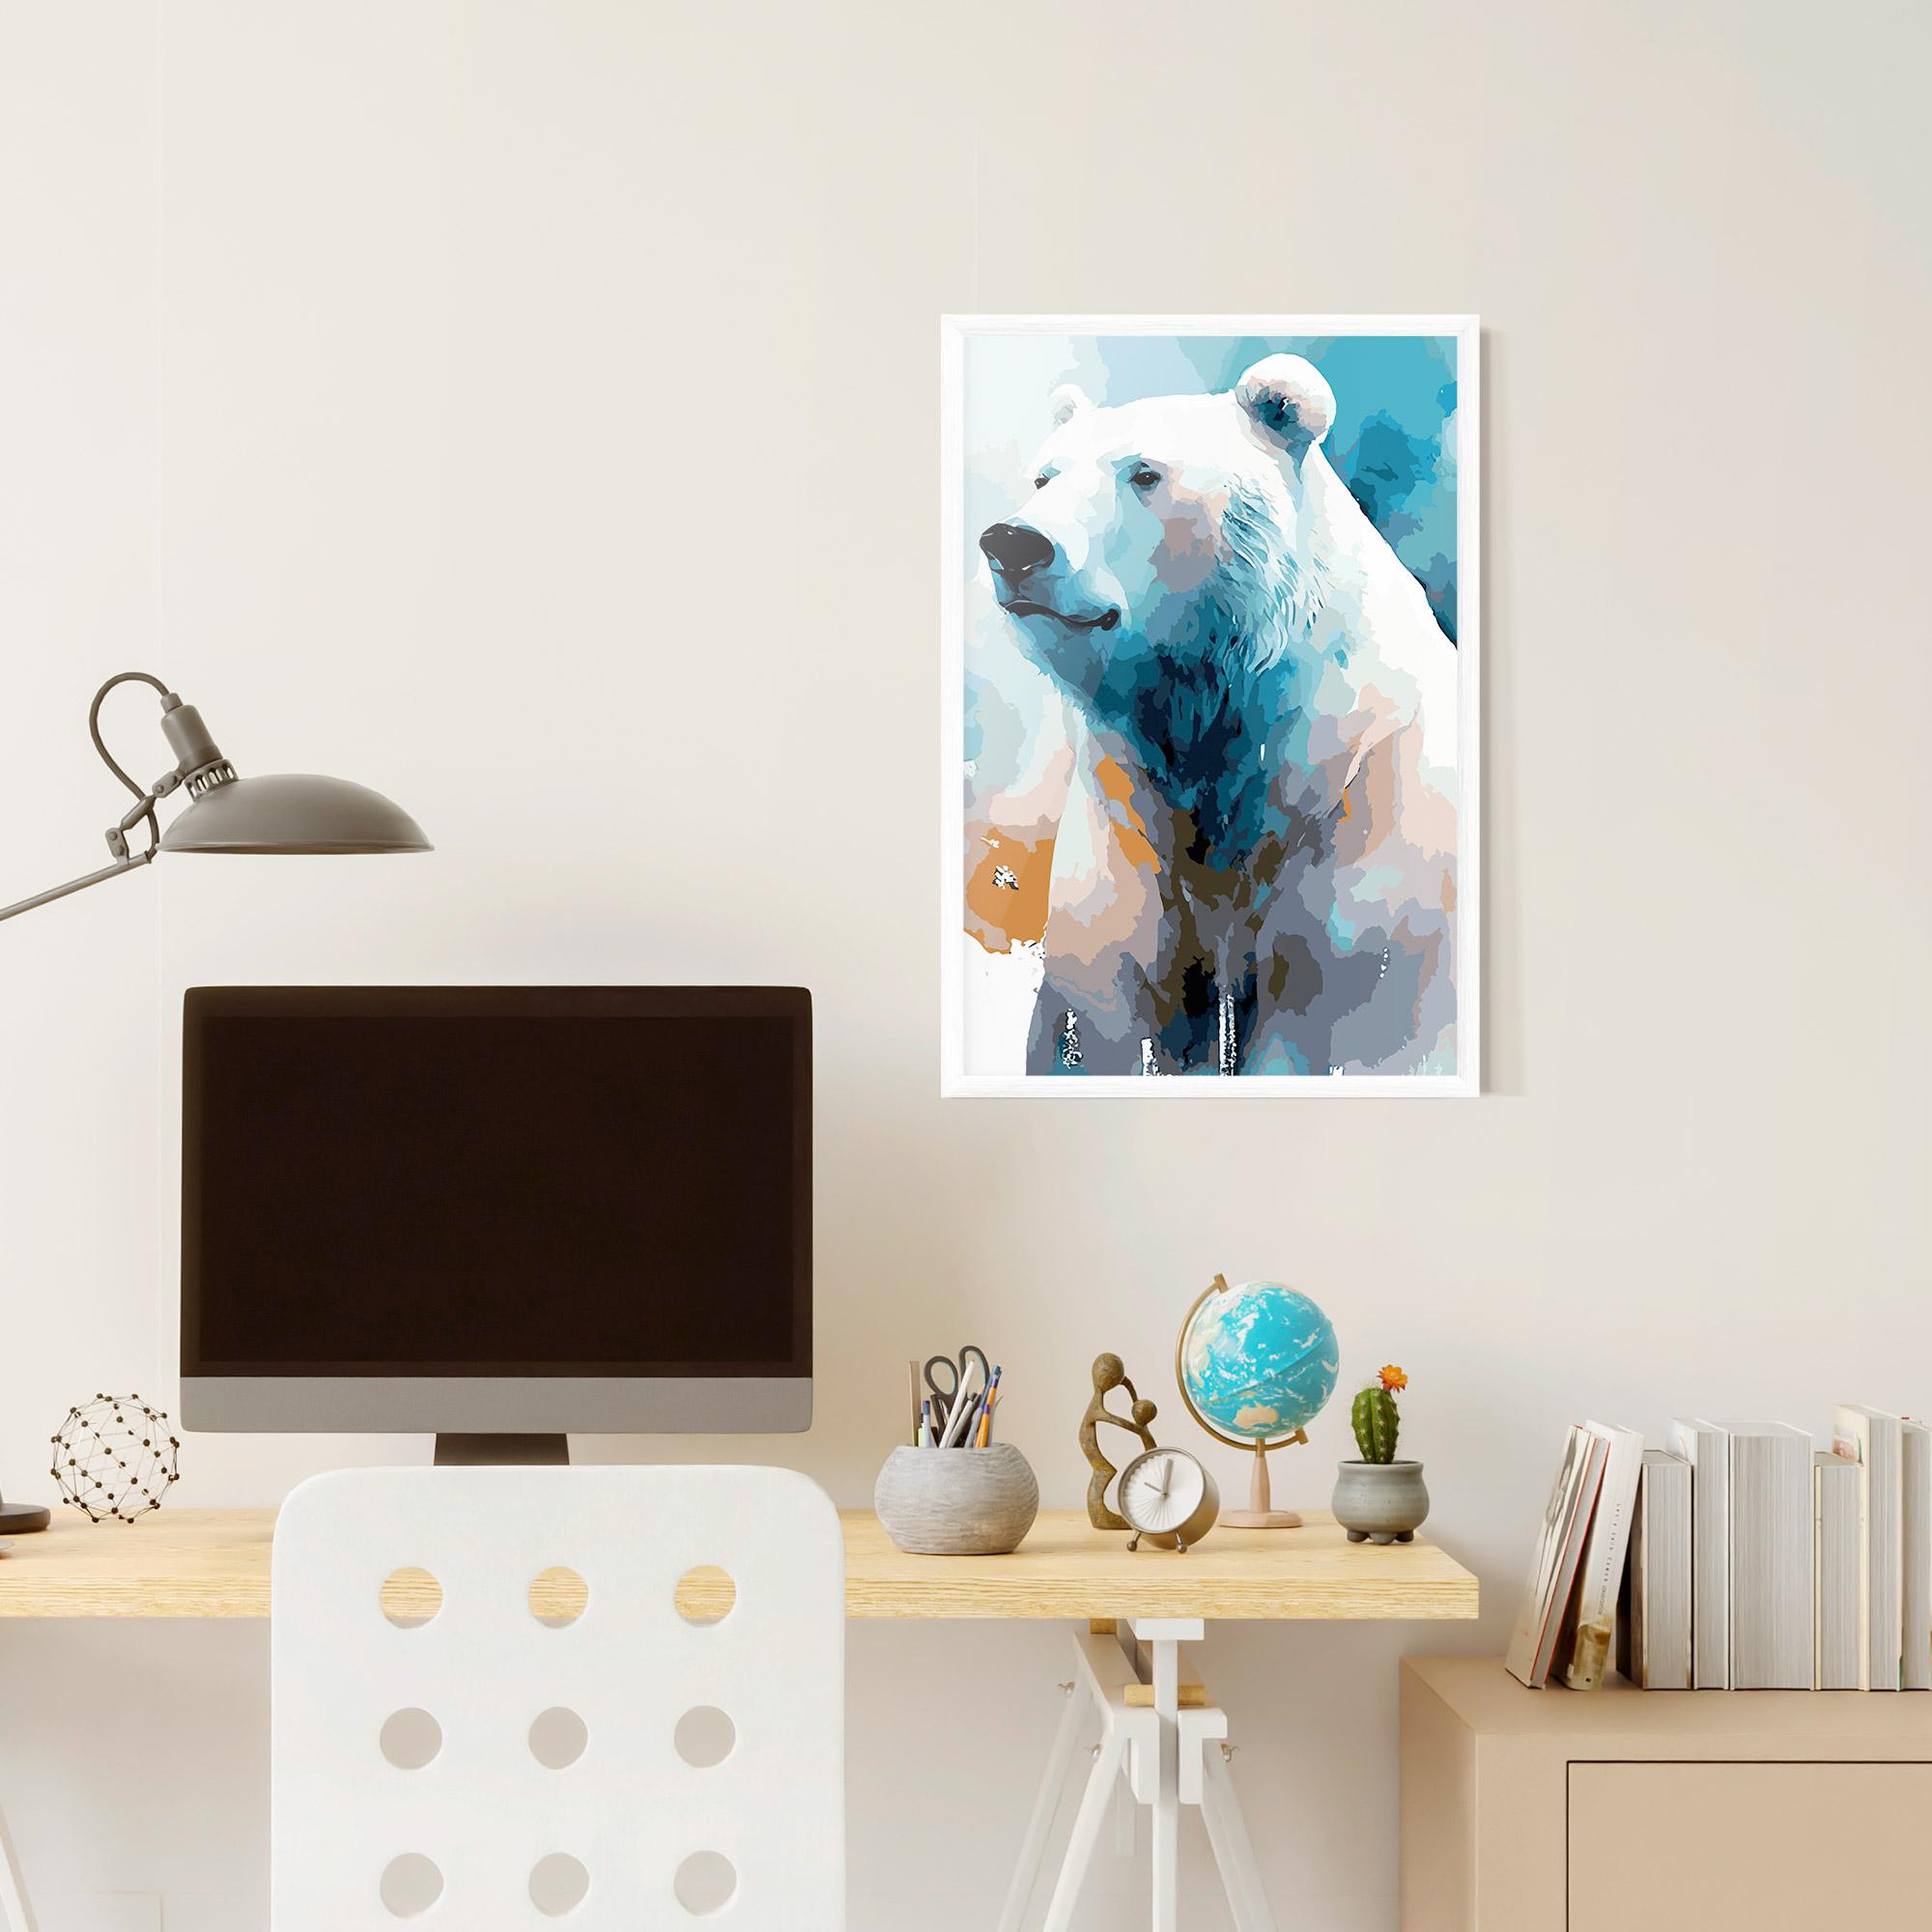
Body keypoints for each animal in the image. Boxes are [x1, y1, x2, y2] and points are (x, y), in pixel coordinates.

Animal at [975, 354, 1459, 1076]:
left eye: (1144, 473)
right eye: (1044, 475)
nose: (1013, 543)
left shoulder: (1372, 846)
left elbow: (1358, 1022)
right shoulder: (1127, 838)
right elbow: (1103, 1013)